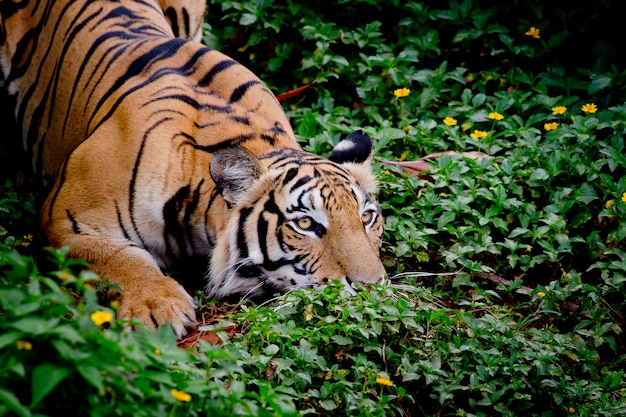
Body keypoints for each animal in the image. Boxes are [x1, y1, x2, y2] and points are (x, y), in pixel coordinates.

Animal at [0, 0, 382, 338]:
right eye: (305, 224)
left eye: (366, 218)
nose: (371, 288)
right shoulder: (66, 216)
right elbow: (119, 256)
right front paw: (156, 307)